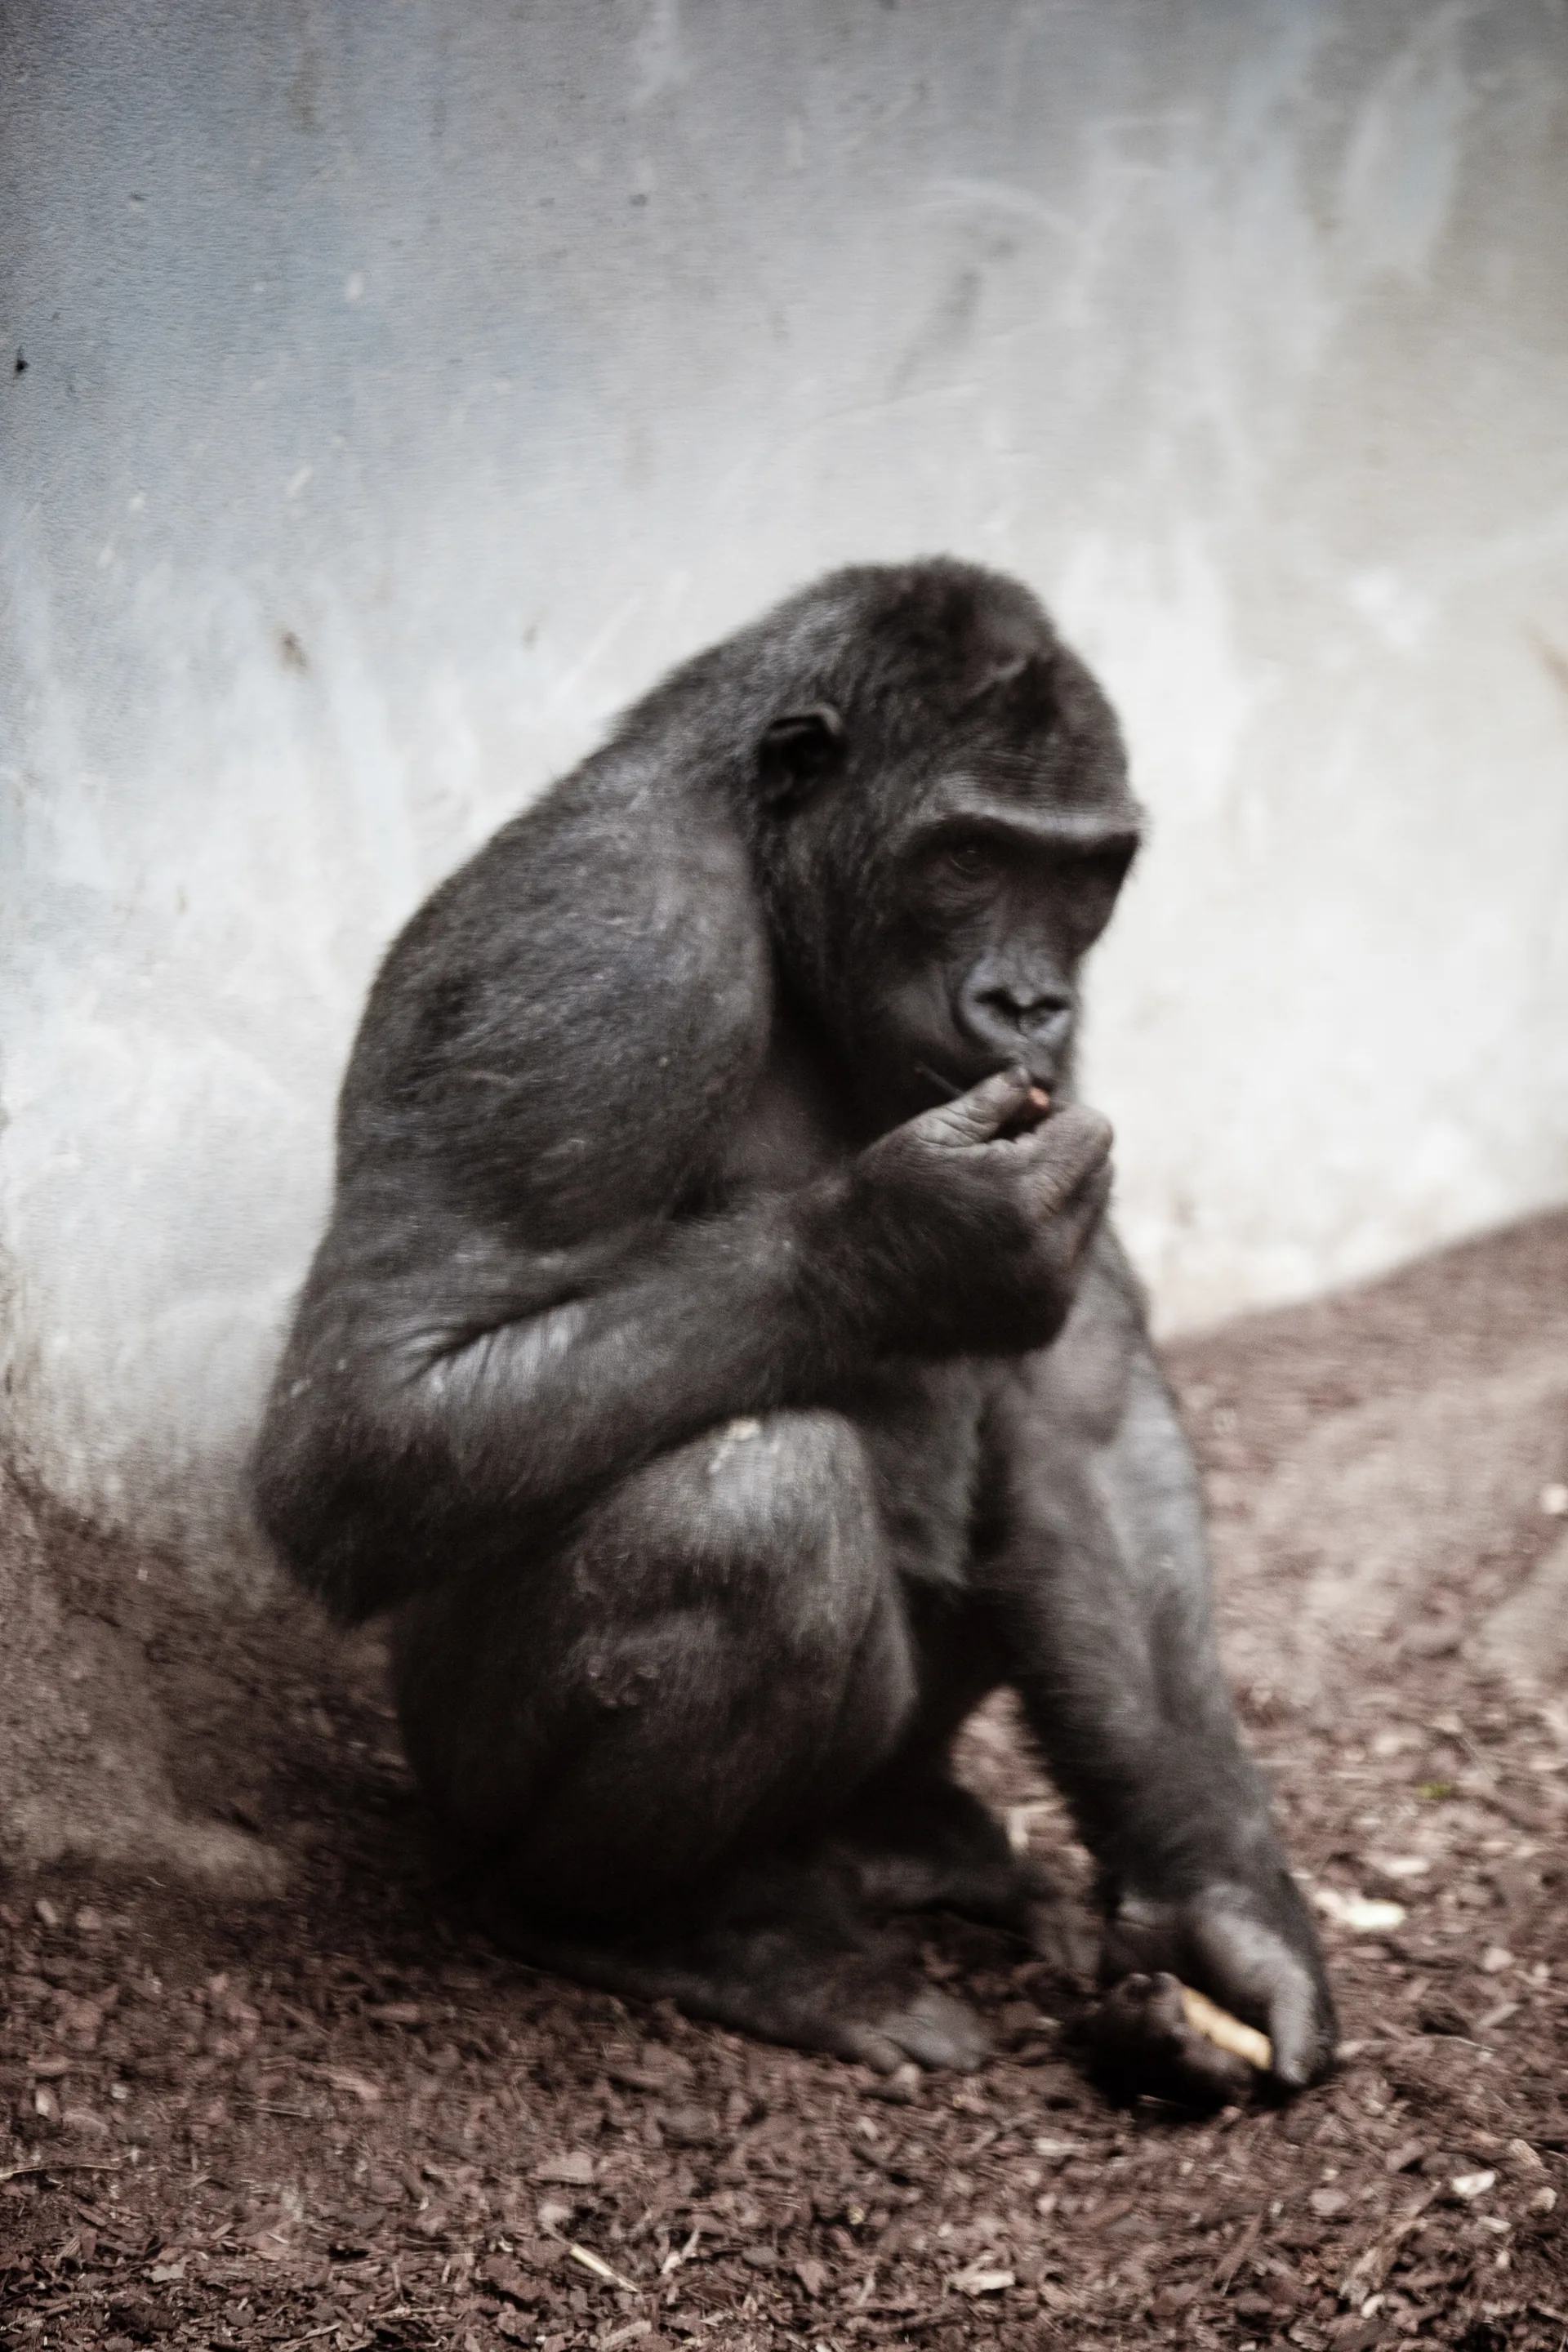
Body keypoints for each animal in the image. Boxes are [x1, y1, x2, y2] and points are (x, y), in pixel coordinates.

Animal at [253, 558, 1335, 2096]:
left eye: (1085, 874)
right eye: (967, 856)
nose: (1029, 995)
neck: (771, 868)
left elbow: (1084, 1402)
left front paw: (1222, 1915)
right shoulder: (599, 953)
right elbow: (370, 1410)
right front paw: (920, 1235)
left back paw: (906, 1837)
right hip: (459, 1782)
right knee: (749, 1506)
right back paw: (674, 1926)